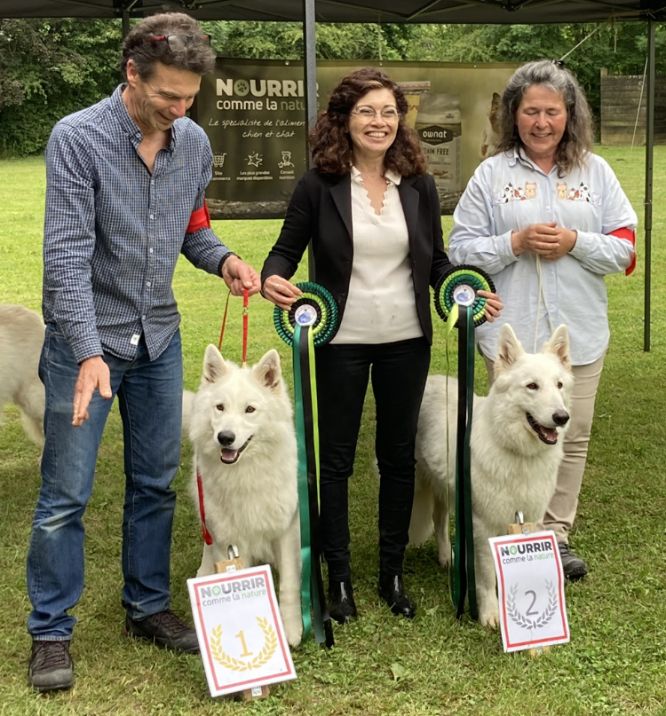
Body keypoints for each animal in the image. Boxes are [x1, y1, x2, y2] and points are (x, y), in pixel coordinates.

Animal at [185, 344, 302, 648]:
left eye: (250, 409)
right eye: (220, 407)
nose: (225, 438)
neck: (245, 472)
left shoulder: (285, 530)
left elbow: (289, 584)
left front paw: (292, 628)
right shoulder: (230, 539)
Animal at [410, 324, 572, 628]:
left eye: (559, 385)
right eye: (532, 386)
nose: (562, 417)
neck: (516, 451)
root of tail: (430, 380)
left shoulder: (529, 519)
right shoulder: (484, 525)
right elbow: (486, 577)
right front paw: (489, 613)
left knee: (439, 521)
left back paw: (446, 557)